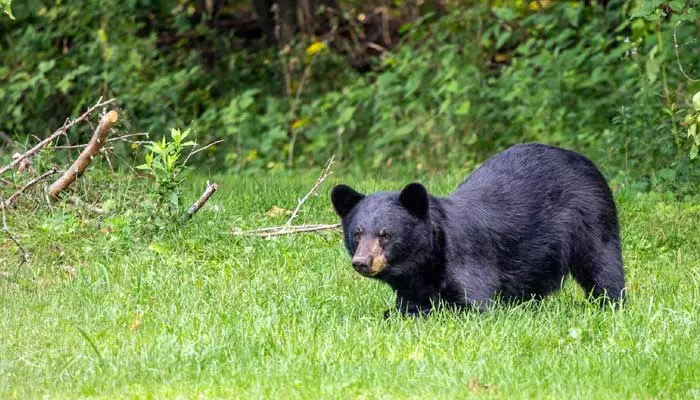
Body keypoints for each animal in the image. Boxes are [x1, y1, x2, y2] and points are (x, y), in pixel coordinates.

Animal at [330, 143, 628, 316]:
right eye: (357, 233)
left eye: (385, 234)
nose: (362, 262)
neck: (426, 262)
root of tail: (585, 161)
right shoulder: (412, 286)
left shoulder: (467, 262)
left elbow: (472, 304)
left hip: (591, 217)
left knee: (602, 265)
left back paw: (610, 305)